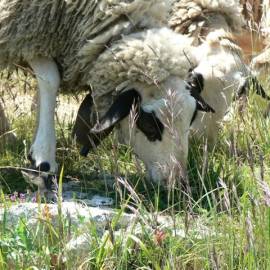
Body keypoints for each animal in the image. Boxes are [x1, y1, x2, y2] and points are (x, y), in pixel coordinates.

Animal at [0, 0, 213, 188]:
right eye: (148, 125)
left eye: (191, 119)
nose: (178, 183)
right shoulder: (28, 31)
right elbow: (50, 80)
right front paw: (43, 159)